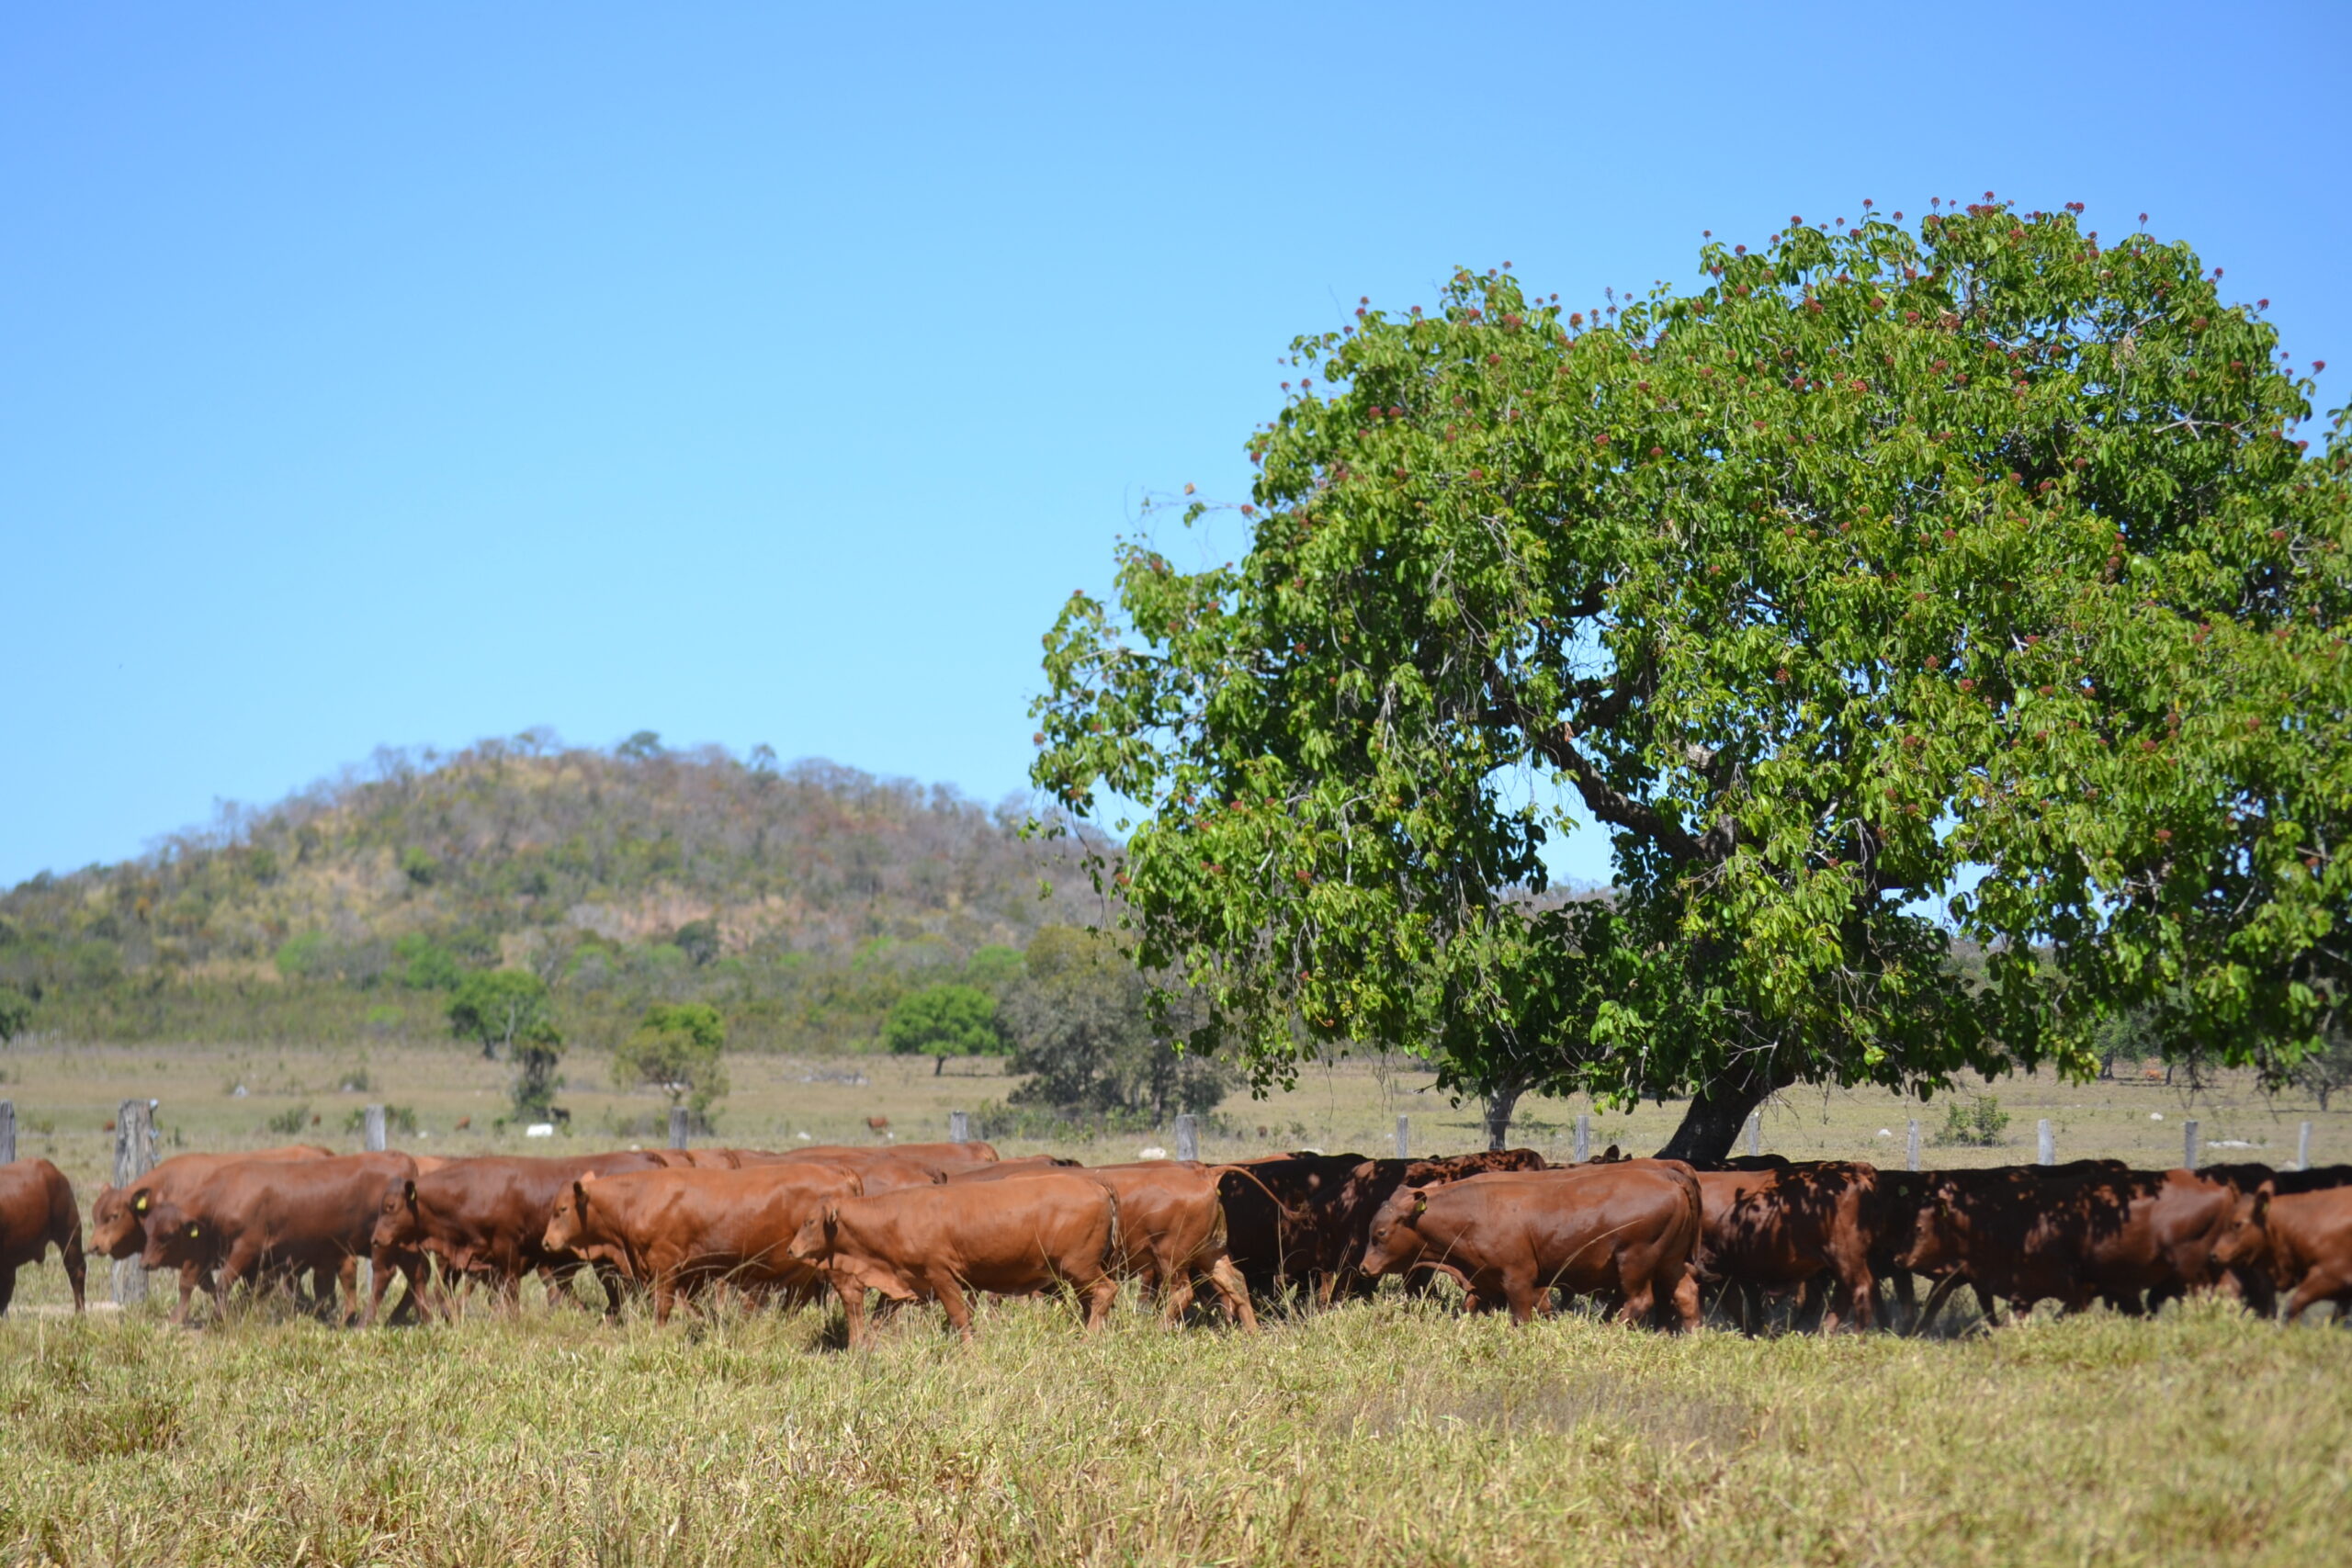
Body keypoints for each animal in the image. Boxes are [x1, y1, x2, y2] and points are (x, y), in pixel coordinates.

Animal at [362, 1152, 673, 1325]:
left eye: (390, 1206)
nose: (376, 1239)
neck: (472, 1189)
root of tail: (648, 1158)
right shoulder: (478, 1260)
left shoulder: (507, 1250)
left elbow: (510, 1291)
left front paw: (511, 1319)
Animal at [540, 1166, 865, 1325]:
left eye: (562, 1210)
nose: (546, 1242)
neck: (638, 1198)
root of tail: (841, 1176)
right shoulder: (692, 1274)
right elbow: (698, 1308)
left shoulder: (665, 1266)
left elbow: (662, 1308)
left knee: (832, 1299)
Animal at [786, 1166, 1124, 1354]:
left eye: (810, 1222)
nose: (791, 1250)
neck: (895, 1218)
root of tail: (1096, 1184)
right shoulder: (902, 1283)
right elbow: (878, 1319)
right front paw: (866, 1349)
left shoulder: (942, 1277)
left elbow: (959, 1317)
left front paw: (969, 1352)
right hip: (1077, 1275)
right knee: (1091, 1301)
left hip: (1080, 1267)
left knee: (1106, 1292)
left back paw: (1088, 1339)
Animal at [1354, 1161, 1702, 1335]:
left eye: (1380, 1233)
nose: (1365, 1267)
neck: (1473, 1210)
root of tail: (1670, 1176)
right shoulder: (1483, 1280)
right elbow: (1469, 1308)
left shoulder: (1518, 1279)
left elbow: (1522, 1316)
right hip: (1670, 1263)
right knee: (1686, 1295)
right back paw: (1691, 1336)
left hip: (1635, 1262)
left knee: (1639, 1301)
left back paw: (1609, 1332)